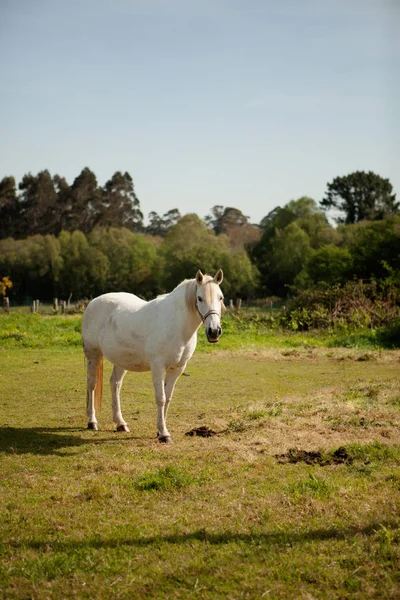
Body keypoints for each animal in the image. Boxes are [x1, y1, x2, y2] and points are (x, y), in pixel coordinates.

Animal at [81, 270, 225, 442]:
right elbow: (160, 398)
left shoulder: (177, 368)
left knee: (115, 384)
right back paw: (92, 422)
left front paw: (160, 430)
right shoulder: (158, 366)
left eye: (221, 297)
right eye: (200, 298)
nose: (214, 331)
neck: (176, 324)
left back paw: (120, 424)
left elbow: (168, 398)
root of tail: (93, 303)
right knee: (92, 385)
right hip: (93, 355)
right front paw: (164, 434)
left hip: (121, 361)